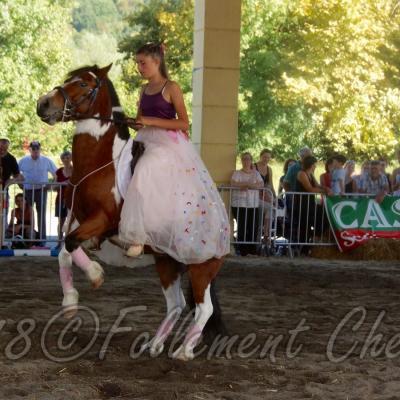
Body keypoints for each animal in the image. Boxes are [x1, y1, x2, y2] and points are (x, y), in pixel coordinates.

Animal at [36, 65, 227, 360]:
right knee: (176, 303)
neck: (102, 162)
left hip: (200, 266)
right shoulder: (83, 224)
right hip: (166, 261)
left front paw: (95, 274)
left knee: (203, 308)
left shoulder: (102, 221)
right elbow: (65, 251)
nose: (43, 104)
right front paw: (69, 302)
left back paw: (183, 351)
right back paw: (154, 345)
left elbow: (69, 243)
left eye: (83, 83)